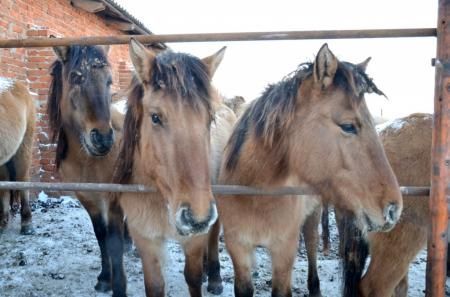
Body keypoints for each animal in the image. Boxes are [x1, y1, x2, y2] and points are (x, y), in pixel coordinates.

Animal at [47, 45, 127, 294]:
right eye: (75, 77)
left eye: (109, 81)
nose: (103, 139)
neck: (88, 161)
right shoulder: (88, 199)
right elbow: (101, 236)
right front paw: (104, 279)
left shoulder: (113, 200)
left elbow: (114, 242)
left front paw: (118, 285)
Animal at [216, 43, 402, 296]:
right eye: (348, 126)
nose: (394, 209)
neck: (254, 196)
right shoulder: (238, 247)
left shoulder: (284, 249)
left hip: (313, 217)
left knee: (313, 246)